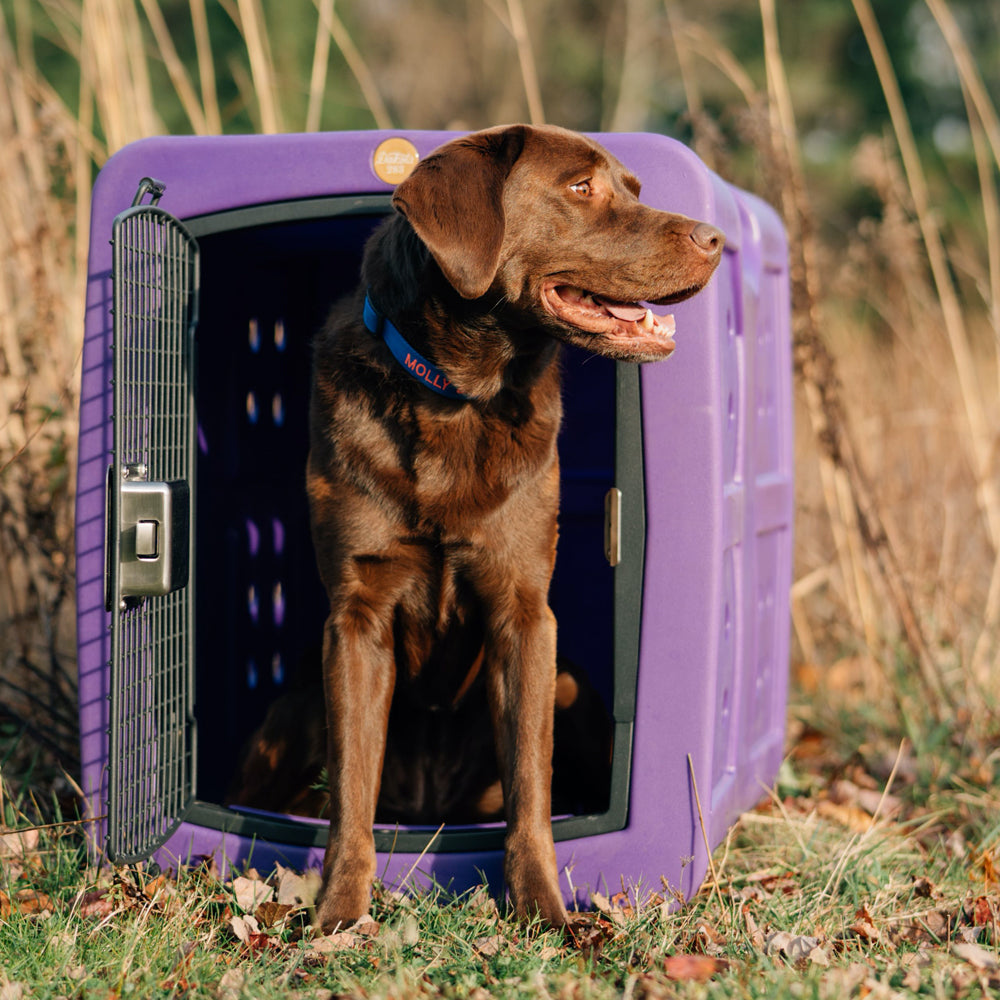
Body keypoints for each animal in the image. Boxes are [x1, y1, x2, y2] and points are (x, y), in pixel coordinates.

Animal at [300, 125, 724, 928]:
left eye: (635, 188)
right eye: (581, 188)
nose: (716, 239)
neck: (461, 397)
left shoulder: (525, 613)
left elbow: (532, 777)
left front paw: (543, 912)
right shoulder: (355, 615)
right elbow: (351, 783)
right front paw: (338, 912)